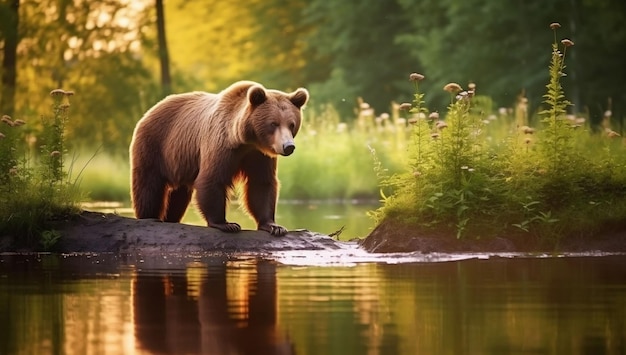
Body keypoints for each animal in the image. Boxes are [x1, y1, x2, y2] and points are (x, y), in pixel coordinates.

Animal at [129, 80, 308, 236]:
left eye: (291, 124)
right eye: (273, 123)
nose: (288, 146)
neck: (246, 140)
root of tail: (151, 109)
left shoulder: (259, 155)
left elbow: (261, 184)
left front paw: (273, 226)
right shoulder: (221, 145)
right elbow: (212, 179)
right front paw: (226, 224)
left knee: (178, 195)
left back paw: (171, 219)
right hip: (154, 145)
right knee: (149, 186)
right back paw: (149, 217)